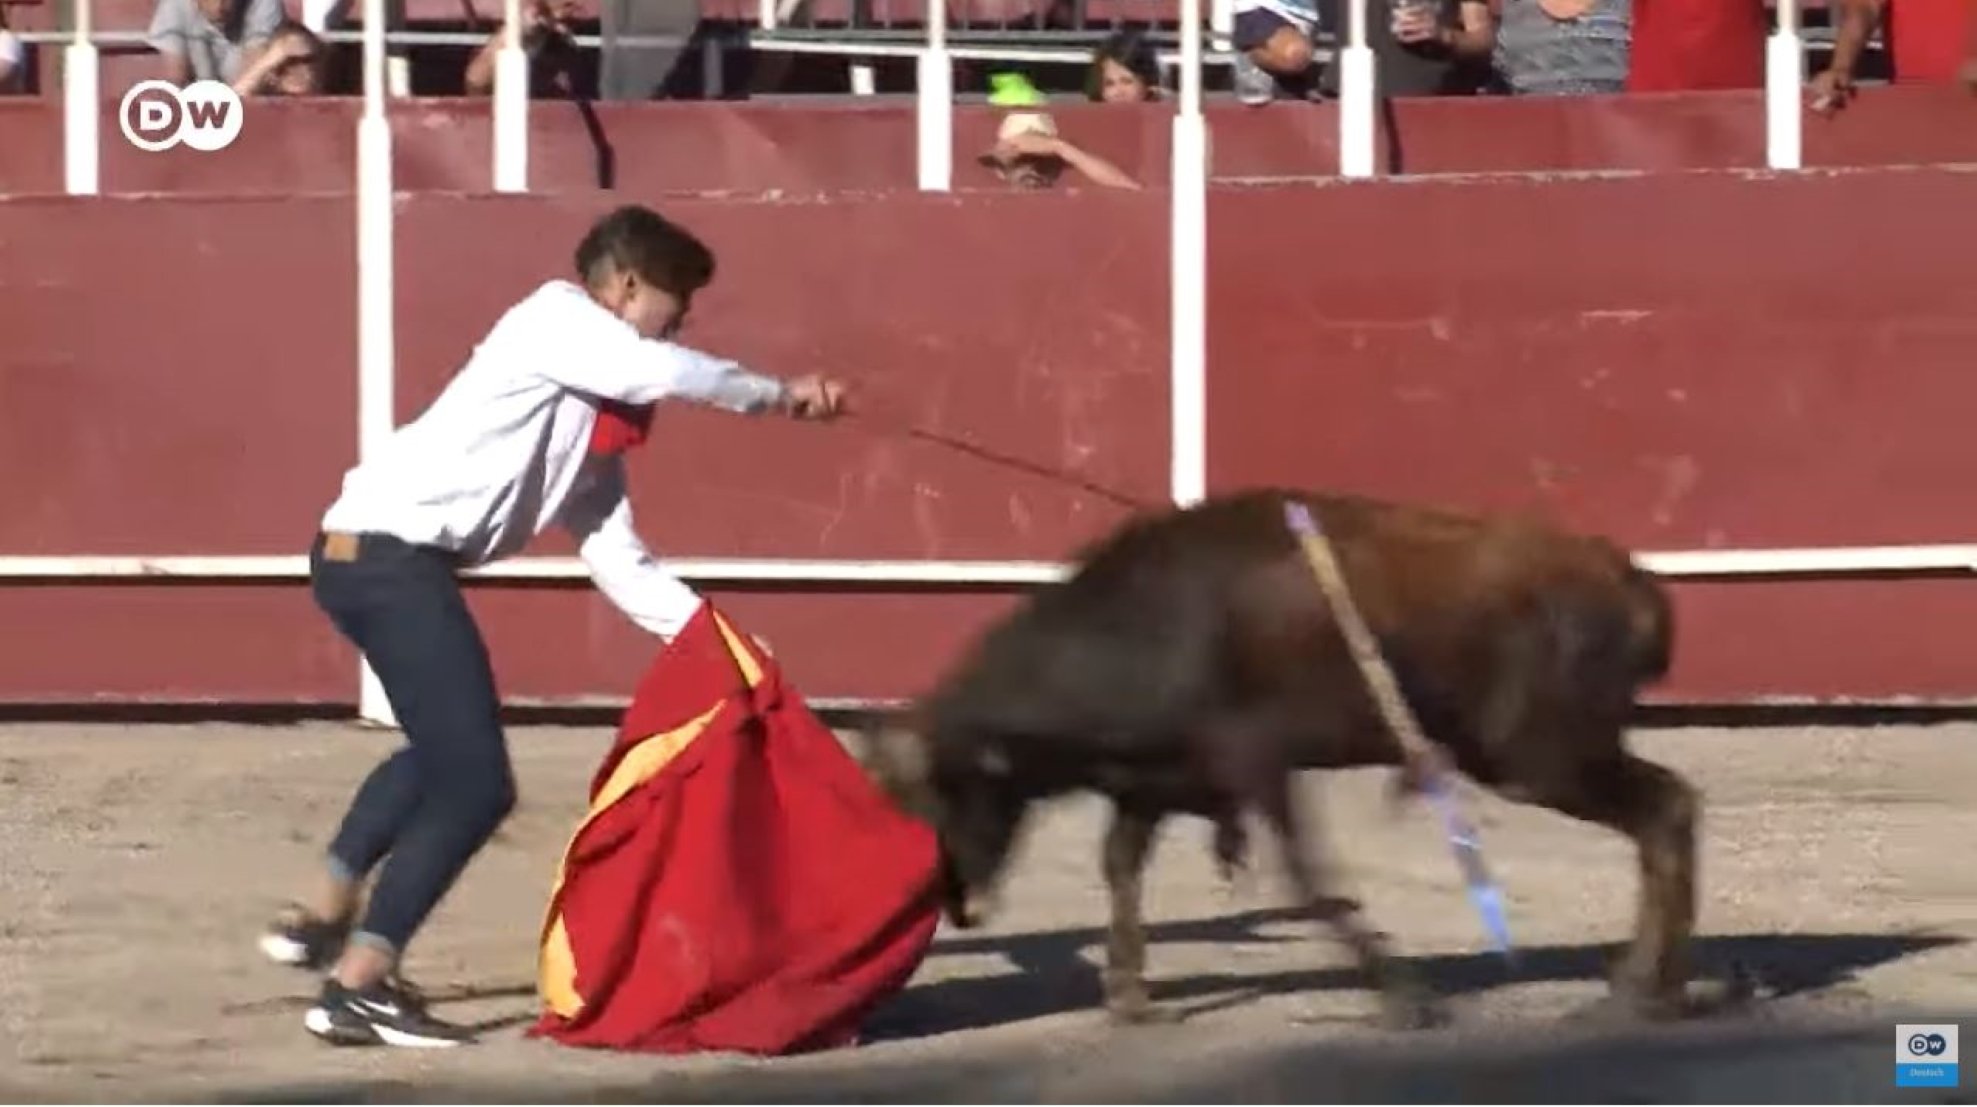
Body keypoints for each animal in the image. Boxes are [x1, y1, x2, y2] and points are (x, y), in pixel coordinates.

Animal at [865, 488, 1700, 1027]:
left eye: (952, 792)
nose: (961, 909)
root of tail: (1625, 578)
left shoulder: (1256, 764)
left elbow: (1307, 876)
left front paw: (1404, 995)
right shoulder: (1153, 780)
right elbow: (1121, 866)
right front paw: (1129, 994)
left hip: (1538, 756)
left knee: (1665, 809)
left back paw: (1641, 990)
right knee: (1669, 809)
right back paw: (1655, 987)